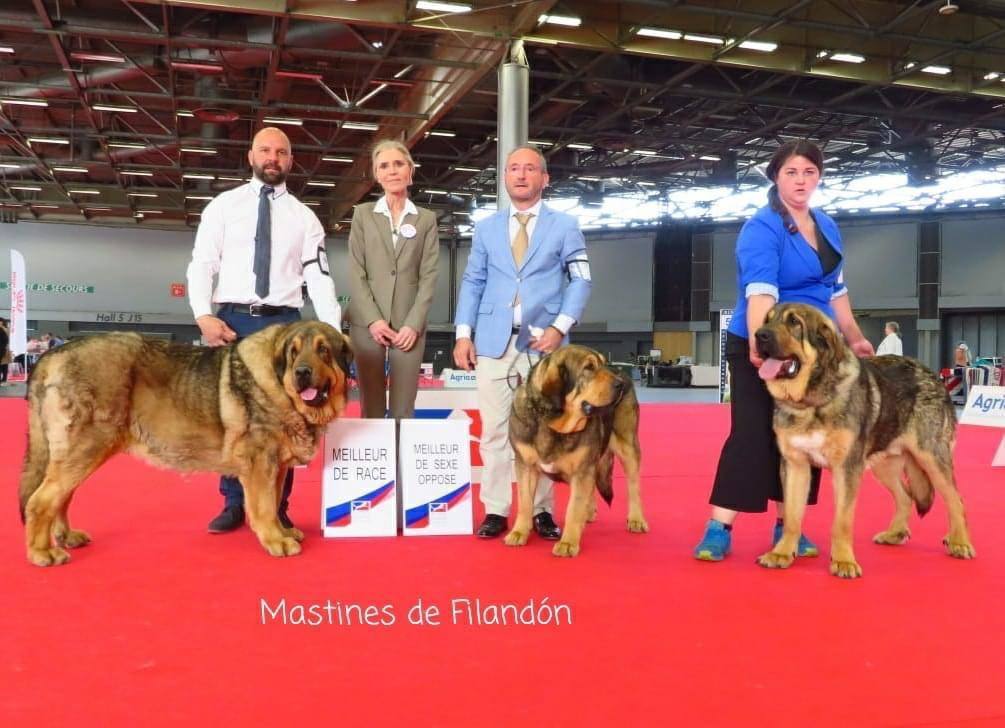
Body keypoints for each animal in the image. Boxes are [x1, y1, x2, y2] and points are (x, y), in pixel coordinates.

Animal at [17, 321, 351, 567]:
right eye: (294, 353)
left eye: (323, 350)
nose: (302, 373)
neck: (279, 381)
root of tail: (53, 355)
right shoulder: (261, 463)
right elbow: (266, 506)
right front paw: (276, 540)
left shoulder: (277, 467)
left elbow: (276, 500)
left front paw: (283, 531)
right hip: (86, 446)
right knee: (41, 500)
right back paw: (42, 552)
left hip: (77, 453)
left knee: (60, 497)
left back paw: (67, 537)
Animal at [506, 345, 647, 559]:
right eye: (588, 368)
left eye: (603, 363)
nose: (620, 385)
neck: (552, 422)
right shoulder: (525, 465)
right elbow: (524, 502)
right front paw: (519, 532)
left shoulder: (582, 470)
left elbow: (573, 508)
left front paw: (568, 543)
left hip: (628, 446)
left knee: (633, 486)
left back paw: (636, 519)